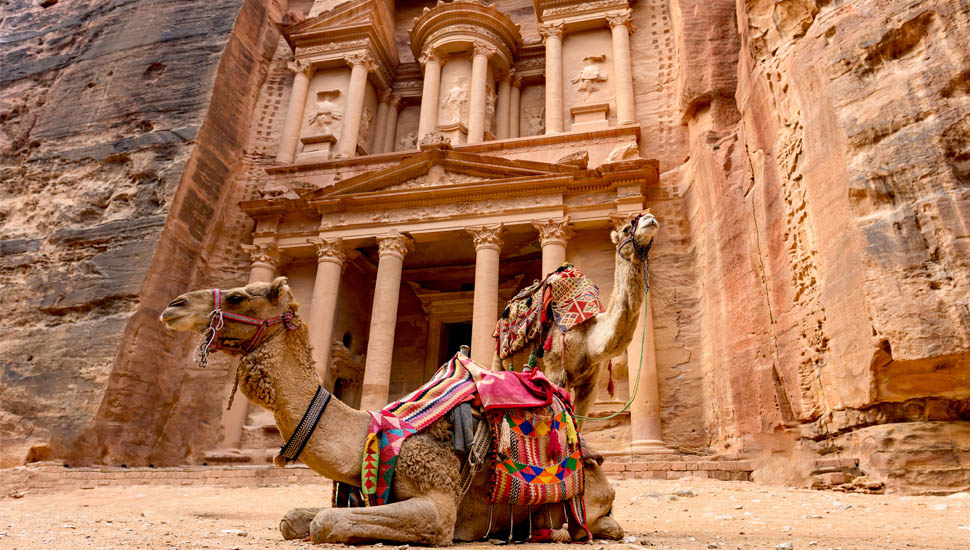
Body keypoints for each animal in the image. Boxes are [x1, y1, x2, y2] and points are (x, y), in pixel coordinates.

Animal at [159, 280, 620, 548]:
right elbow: (293, 519)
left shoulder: (439, 505)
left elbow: (325, 522)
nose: (173, 305)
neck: (370, 431)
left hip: (590, 498)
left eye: (239, 295)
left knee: (597, 524)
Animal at [492, 213, 656, 430]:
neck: (589, 338)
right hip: (498, 356)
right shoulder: (555, 373)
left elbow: (578, 424)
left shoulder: (590, 386)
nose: (650, 218)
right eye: (626, 229)